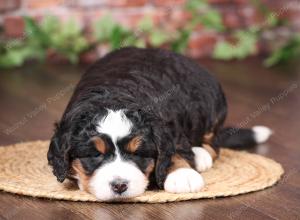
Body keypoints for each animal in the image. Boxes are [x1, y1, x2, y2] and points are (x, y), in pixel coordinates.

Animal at [47, 46, 272, 201]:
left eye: (138, 153)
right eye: (94, 155)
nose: (119, 186)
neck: (114, 94)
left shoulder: (170, 128)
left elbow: (174, 151)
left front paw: (182, 174)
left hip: (212, 105)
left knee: (213, 143)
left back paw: (201, 155)